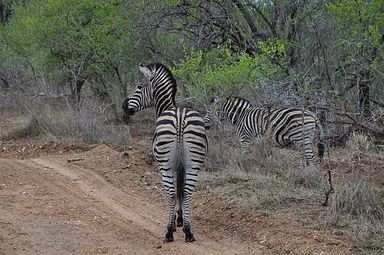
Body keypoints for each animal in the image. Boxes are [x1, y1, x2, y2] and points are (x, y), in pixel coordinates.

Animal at [122, 62, 207, 242]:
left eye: (139, 86)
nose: (124, 106)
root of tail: (180, 117)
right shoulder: (182, 167)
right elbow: (181, 189)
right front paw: (181, 220)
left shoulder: (174, 166)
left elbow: (176, 191)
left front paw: (176, 223)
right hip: (193, 164)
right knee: (187, 192)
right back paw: (189, 232)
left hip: (165, 164)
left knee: (170, 193)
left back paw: (169, 231)